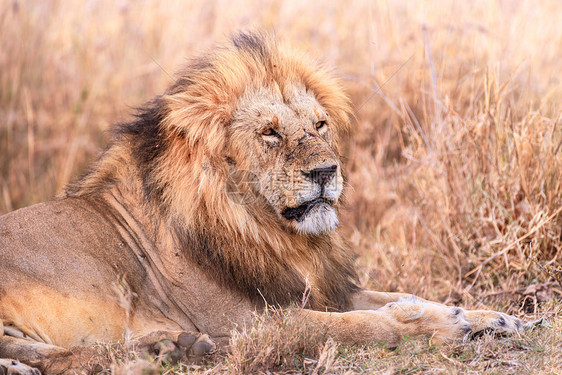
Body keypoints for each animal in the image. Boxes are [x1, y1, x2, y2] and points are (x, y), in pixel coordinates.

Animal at [0, 33, 520, 375]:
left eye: (320, 125)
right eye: (271, 133)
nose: (326, 171)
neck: (270, 232)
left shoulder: (318, 288)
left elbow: (394, 296)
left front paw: (489, 316)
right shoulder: (246, 323)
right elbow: (356, 327)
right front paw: (429, 324)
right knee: (70, 358)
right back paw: (171, 348)